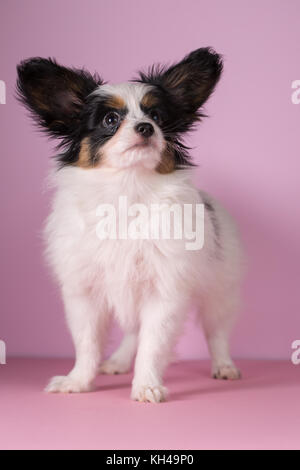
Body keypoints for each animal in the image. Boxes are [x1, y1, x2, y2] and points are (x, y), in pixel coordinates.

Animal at [16, 48, 243, 404]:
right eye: (110, 120)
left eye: (158, 117)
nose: (146, 127)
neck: (127, 189)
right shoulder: (84, 292)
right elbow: (87, 343)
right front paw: (78, 381)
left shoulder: (165, 290)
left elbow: (153, 344)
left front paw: (147, 385)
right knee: (133, 332)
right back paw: (120, 361)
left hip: (220, 288)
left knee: (216, 330)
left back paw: (223, 366)